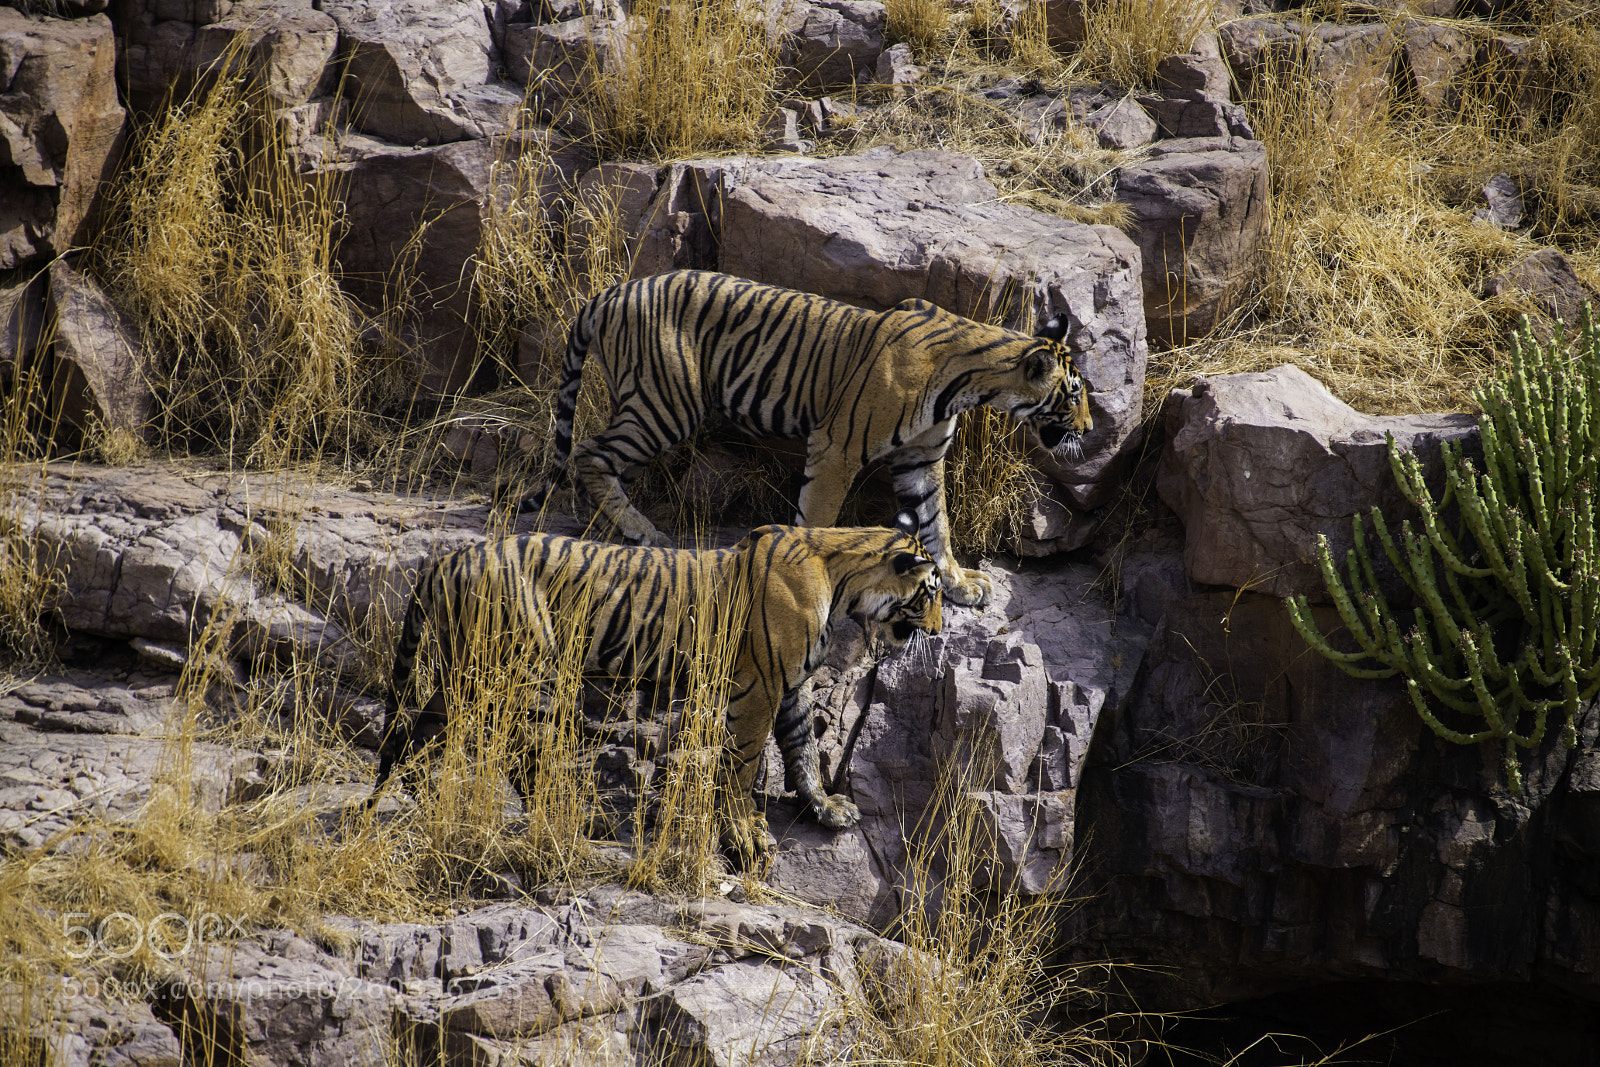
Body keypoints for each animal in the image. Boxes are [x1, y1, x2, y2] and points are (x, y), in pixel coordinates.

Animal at [368, 511, 943, 860]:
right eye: (932, 592)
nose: (938, 630)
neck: (844, 583)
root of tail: (448, 559)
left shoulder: (792, 686)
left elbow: (801, 750)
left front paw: (824, 808)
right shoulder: (760, 685)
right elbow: (744, 763)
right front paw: (743, 835)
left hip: (464, 672)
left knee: (423, 727)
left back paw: (417, 795)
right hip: (512, 667)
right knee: (506, 741)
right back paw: (561, 815)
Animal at [515, 269, 1094, 609]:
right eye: (1073, 394)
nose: (1089, 430)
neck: (968, 385)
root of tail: (609, 291)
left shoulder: (922, 458)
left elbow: (937, 525)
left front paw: (959, 584)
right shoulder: (837, 447)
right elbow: (819, 517)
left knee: (601, 462)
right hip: (665, 405)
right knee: (587, 453)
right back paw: (642, 531)